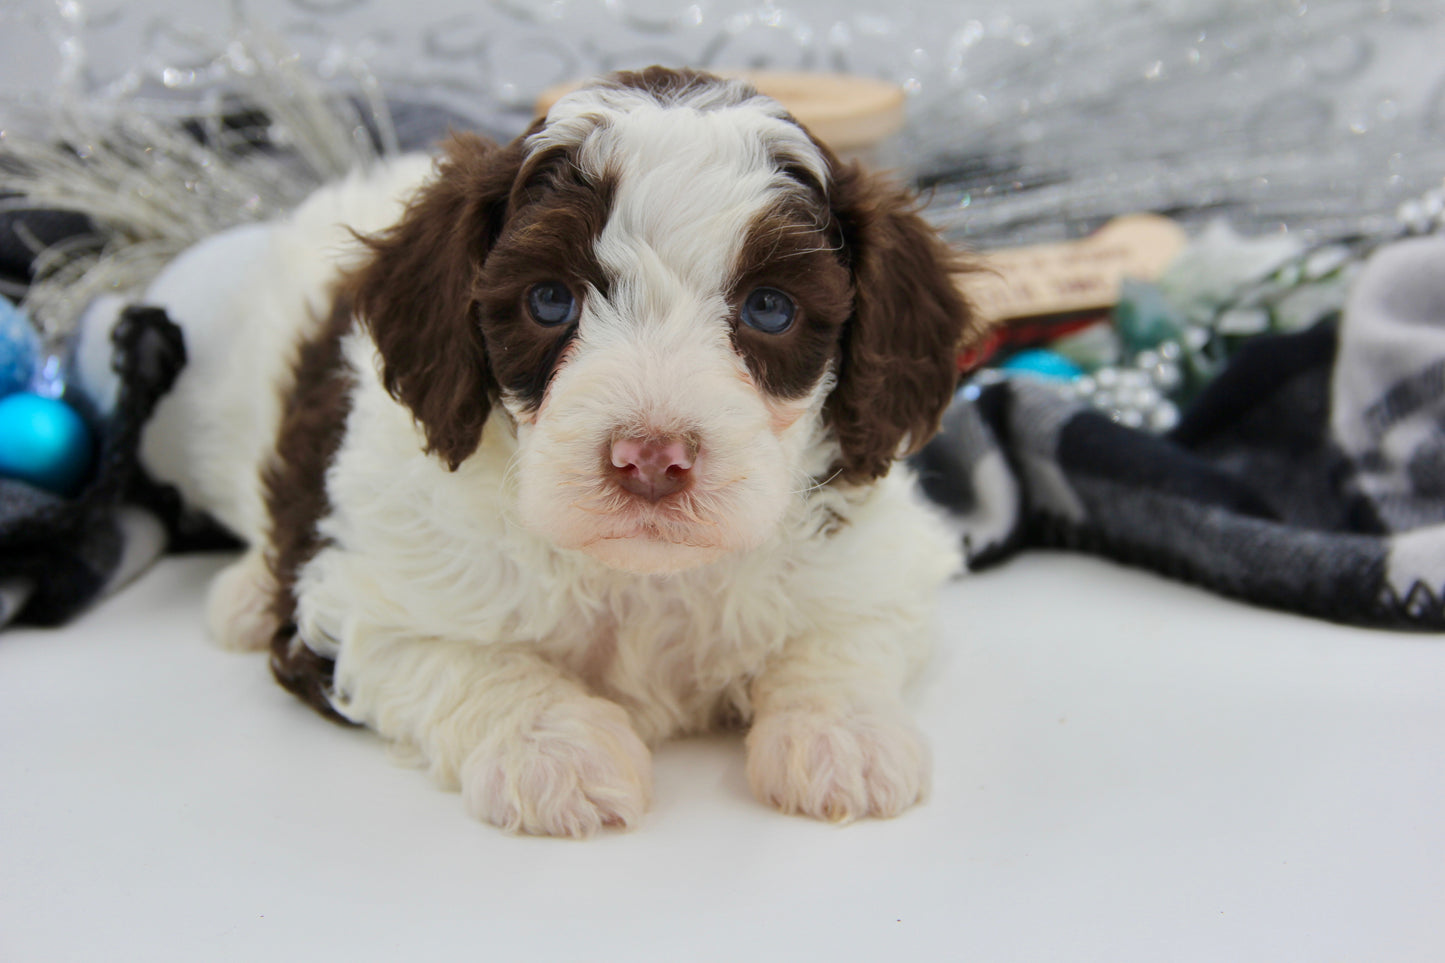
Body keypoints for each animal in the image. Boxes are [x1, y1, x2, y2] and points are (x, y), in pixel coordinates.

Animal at [135, 67, 982, 832]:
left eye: (769, 308)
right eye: (549, 300)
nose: (650, 458)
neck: (642, 576)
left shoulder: (880, 561)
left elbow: (840, 635)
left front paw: (843, 734)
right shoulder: (360, 608)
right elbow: (466, 660)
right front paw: (553, 749)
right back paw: (247, 594)